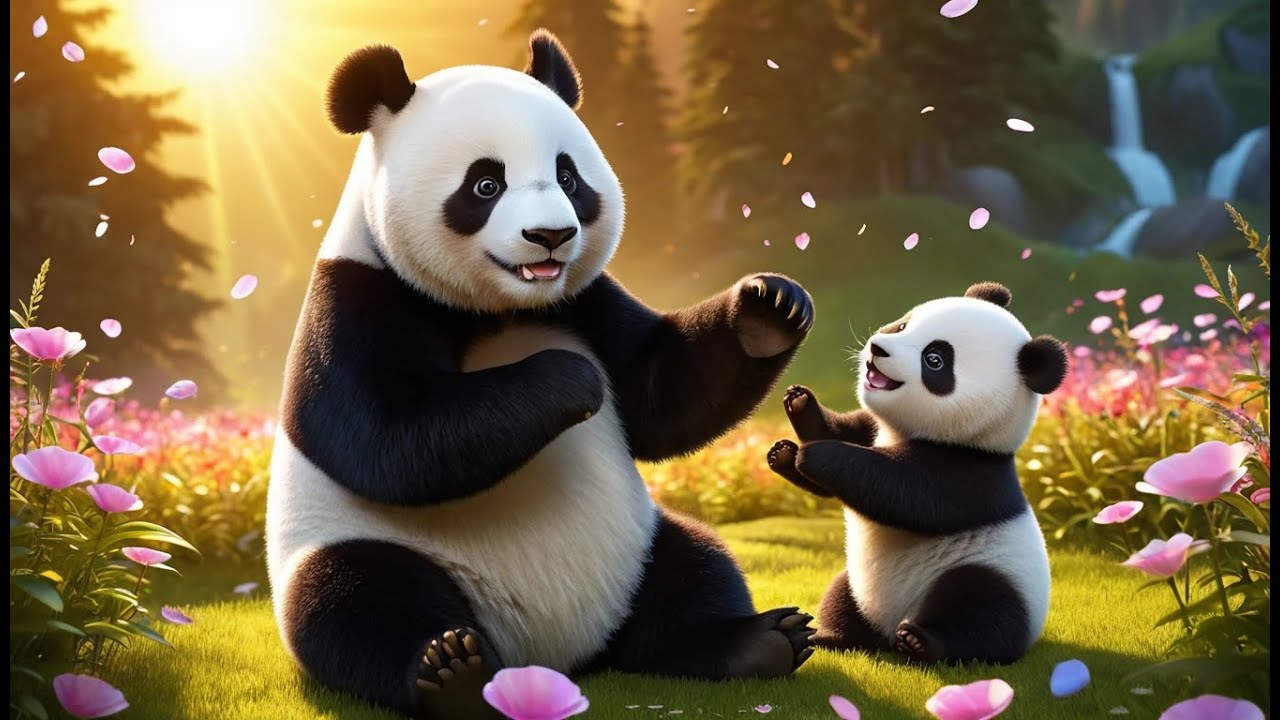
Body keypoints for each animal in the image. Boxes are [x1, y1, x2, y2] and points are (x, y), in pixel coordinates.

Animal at [266, 30, 818, 719]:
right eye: (484, 184)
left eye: (567, 176)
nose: (550, 235)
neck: (503, 309)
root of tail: (554, 656)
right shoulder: (359, 292)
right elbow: (382, 434)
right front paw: (570, 379)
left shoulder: (582, 300)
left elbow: (662, 395)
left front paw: (769, 310)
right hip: (364, 544)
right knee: (357, 600)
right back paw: (452, 673)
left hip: (636, 549)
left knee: (694, 567)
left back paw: (755, 642)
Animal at [765, 282, 1067, 664]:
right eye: (903, 325)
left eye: (934, 360)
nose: (877, 349)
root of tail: (887, 630)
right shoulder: (873, 429)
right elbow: (843, 446)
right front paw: (792, 429)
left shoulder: (971, 471)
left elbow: (906, 495)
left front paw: (816, 454)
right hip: (856, 584)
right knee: (839, 597)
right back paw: (829, 636)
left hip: (993, 572)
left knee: (985, 612)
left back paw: (922, 642)